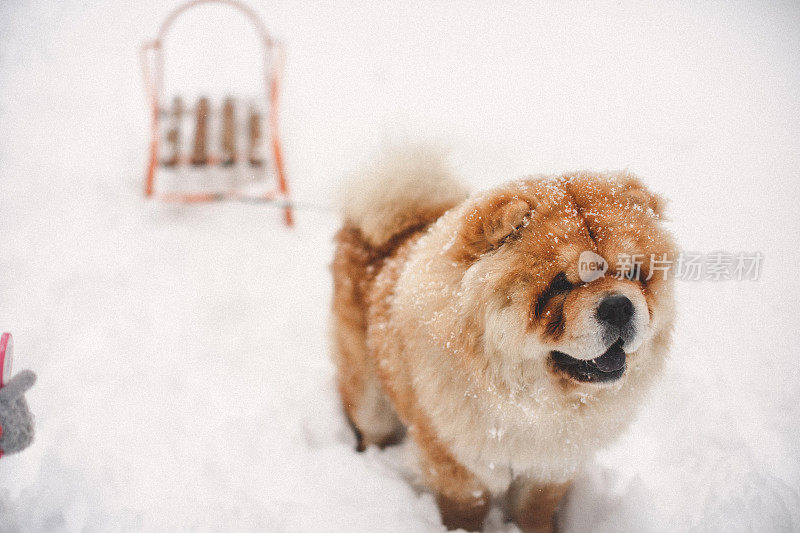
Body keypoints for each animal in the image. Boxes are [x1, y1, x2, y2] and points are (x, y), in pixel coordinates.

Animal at [330, 143, 676, 528]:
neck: (532, 401)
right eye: (560, 284)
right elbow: (466, 509)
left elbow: (535, 510)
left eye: (632, 273)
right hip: (369, 399)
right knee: (369, 423)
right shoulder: (459, 464)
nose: (618, 306)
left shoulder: (551, 466)